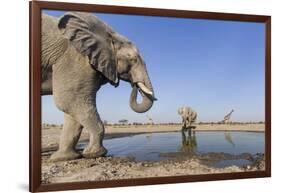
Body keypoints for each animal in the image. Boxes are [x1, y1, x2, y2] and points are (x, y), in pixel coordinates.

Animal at [41, 12, 156, 161]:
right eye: (133, 59)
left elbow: (72, 109)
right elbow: (68, 101)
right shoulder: (75, 56)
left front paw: (64, 158)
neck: (109, 34)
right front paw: (93, 154)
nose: (134, 85)